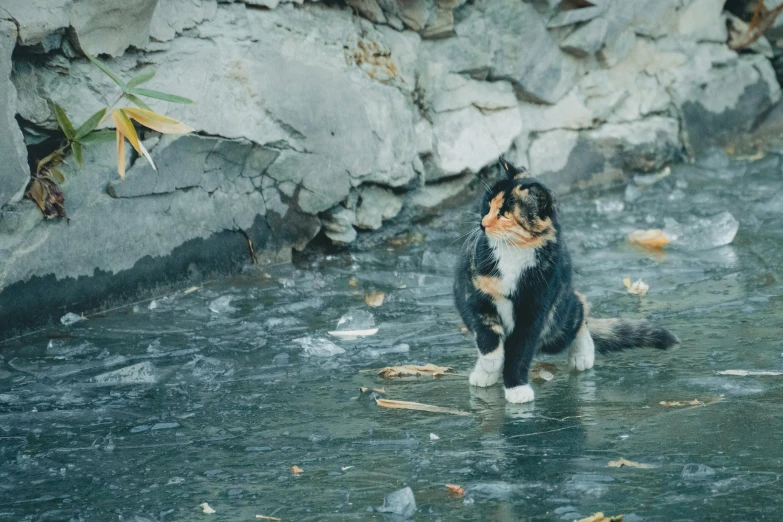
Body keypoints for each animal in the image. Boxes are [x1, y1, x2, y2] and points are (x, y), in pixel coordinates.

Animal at [454, 155, 680, 402]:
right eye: (487, 204)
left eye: (505, 213)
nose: (482, 224)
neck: (513, 252)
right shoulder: (478, 298)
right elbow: (488, 340)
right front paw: (489, 368)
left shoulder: (535, 310)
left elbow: (520, 350)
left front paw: (517, 388)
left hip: (557, 319)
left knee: (579, 310)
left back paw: (583, 353)